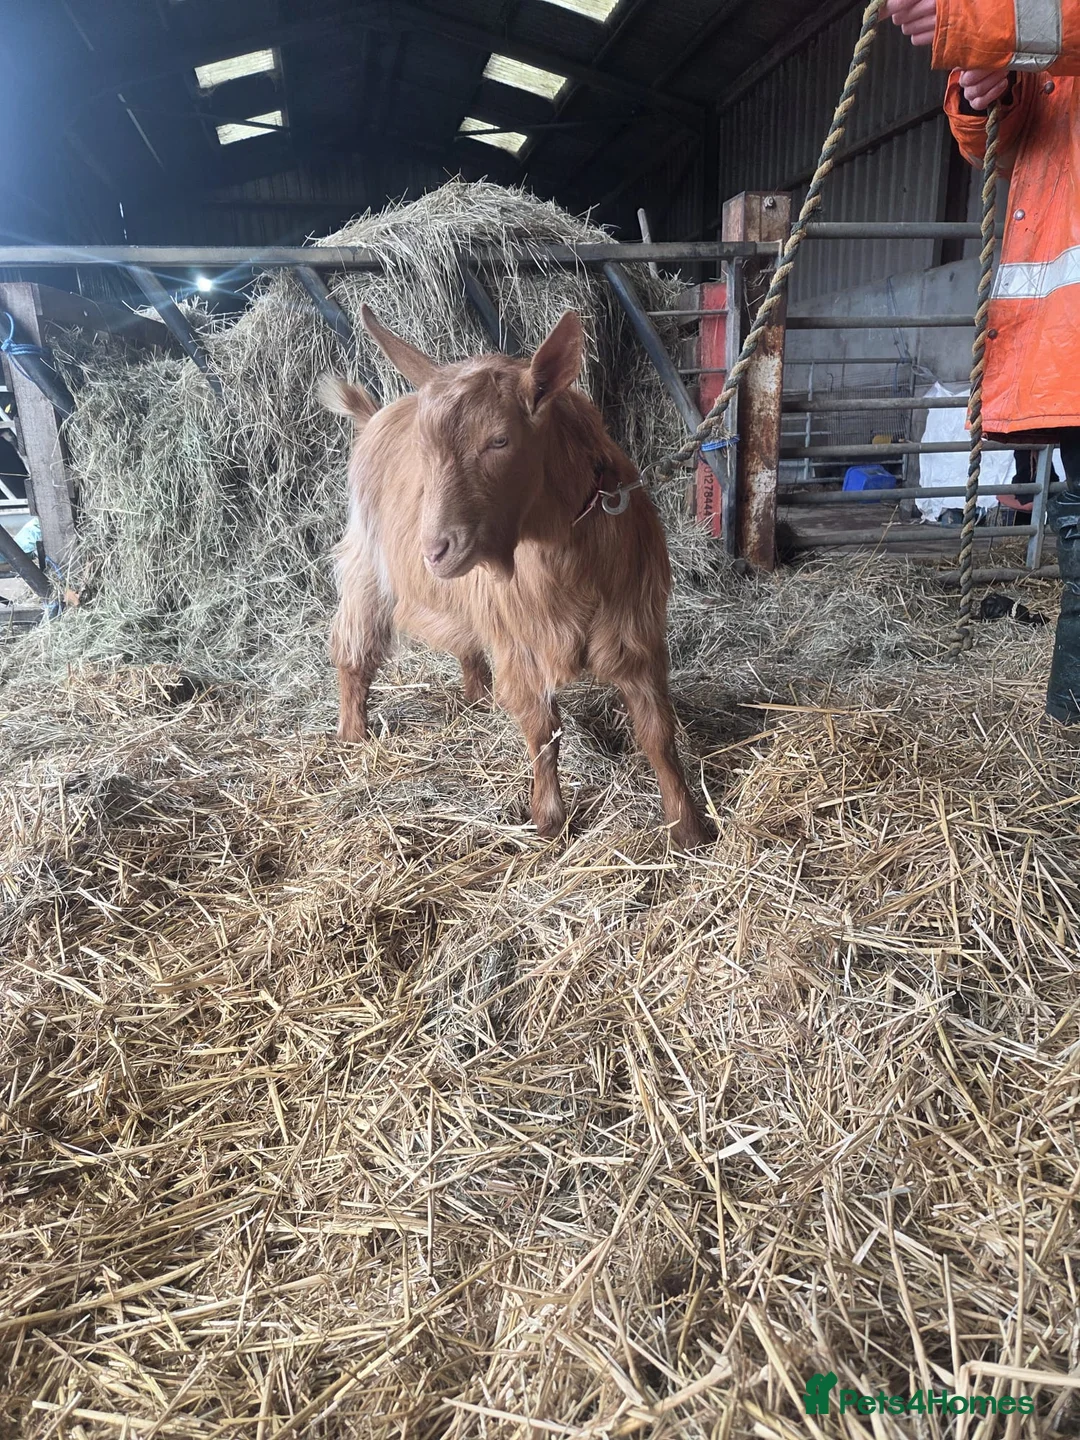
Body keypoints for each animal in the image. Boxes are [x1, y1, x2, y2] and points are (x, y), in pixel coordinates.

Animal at [321, 305, 714, 849]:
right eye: (424, 450)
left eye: (499, 440)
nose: (436, 551)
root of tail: (373, 416)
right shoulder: (521, 642)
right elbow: (542, 732)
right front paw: (548, 821)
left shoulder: (634, 631)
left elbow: (657, 731)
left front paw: (688, 826)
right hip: (367, 566)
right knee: (353, 647)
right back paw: (352, 732)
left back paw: (478, 697)